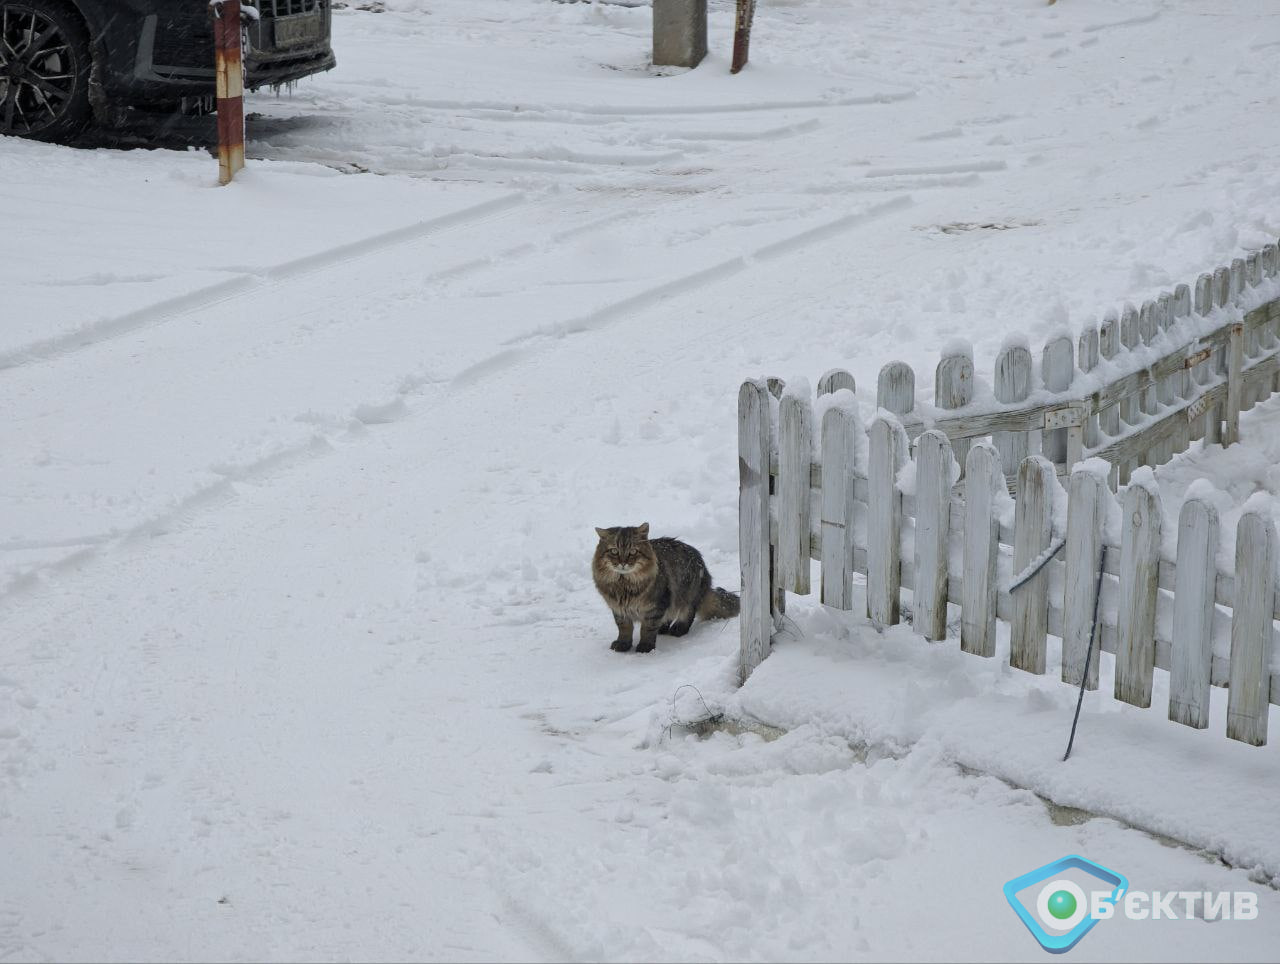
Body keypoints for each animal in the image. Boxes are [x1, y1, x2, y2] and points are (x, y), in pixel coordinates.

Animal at [591, 522, 742, 650]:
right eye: (614, 551)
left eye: (633, 551)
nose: (623, 563)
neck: (624, 585)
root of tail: (705, 574)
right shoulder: (619, 610)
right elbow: (624, 629)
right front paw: (623, 644)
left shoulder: (655, 606)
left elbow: (647, 629)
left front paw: (645, 646)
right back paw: (663, 628)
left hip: (687, 595)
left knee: (687, 614)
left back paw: (678, 629)